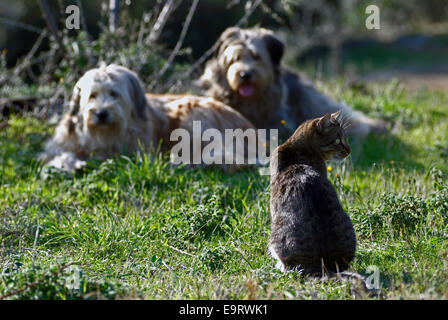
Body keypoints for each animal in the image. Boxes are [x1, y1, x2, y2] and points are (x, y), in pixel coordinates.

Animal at [41, 64, 256, 172]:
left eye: (114, 94)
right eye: (92, 95)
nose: (101, 113)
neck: (103, 134)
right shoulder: (60, 144)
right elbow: (56, 155)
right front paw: (70, 164)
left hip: (191, 116)